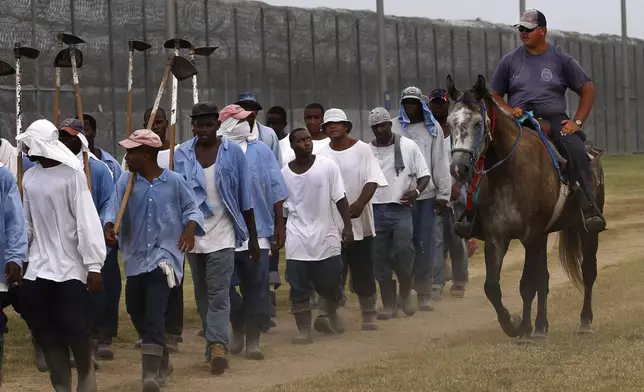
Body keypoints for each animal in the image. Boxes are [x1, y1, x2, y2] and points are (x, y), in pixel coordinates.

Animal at [446, 75, 608, 342]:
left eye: (478, 123)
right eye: (449, 123)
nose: (459, 168)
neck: (508, 172)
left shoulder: (531, 234)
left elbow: (527, 285)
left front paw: (526, 328)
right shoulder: (498, 237)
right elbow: (493, 286)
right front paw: (515, 324)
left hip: (586, 231)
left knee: (588, 271)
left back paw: (584, 321)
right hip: (543, 237)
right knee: (544, 279)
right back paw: (540, 325)